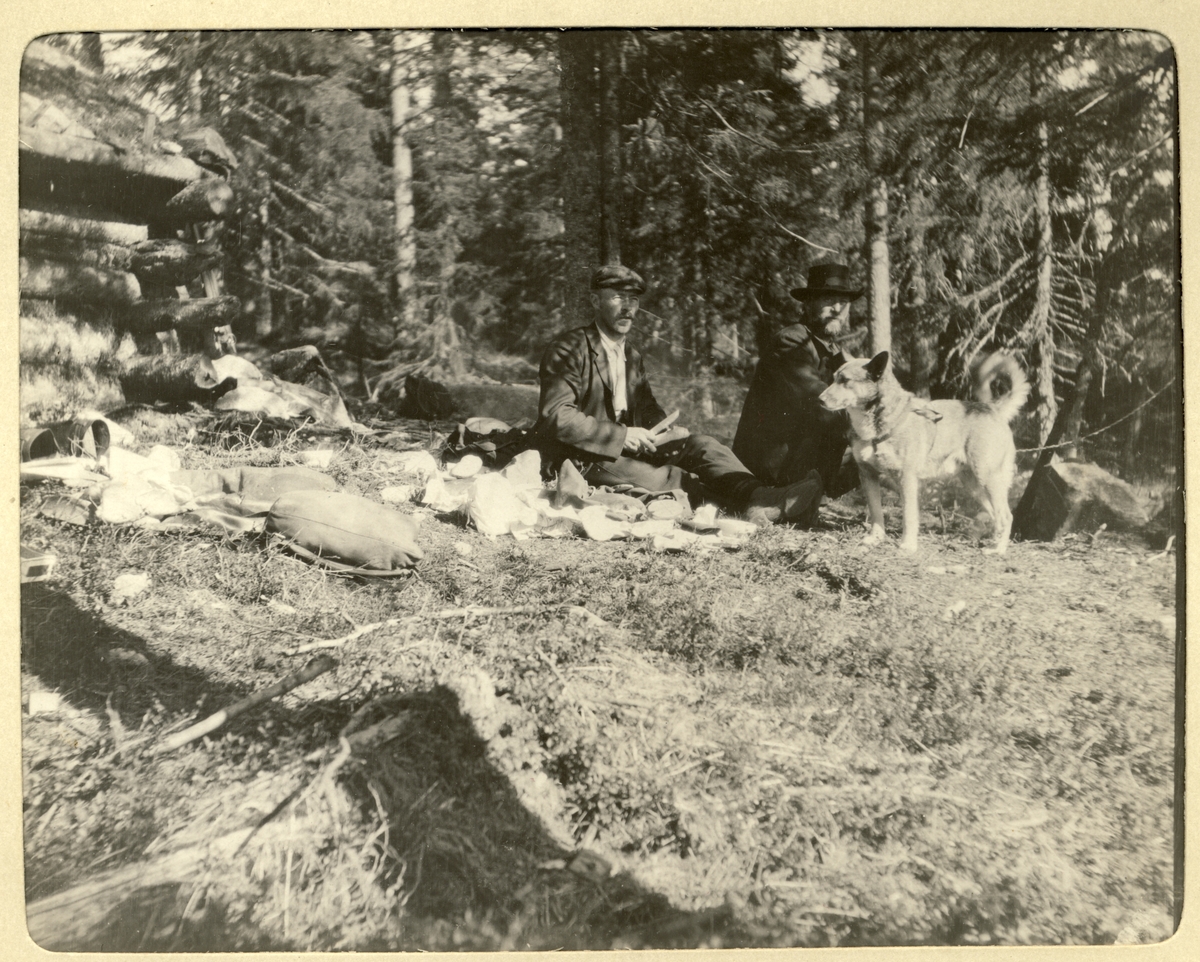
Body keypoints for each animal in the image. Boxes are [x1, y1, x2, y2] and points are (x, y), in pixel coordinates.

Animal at [816, 352, 1032, 551]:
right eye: (834, 378)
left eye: (845, 381)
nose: (819, 400)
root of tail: (991, 408)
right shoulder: (868, 475)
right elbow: (876, 512)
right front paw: (875, 538)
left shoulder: (907, 478)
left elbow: (909, 516)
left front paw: (908, 545)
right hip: (974, 485)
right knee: (996, 515)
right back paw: (994, 542)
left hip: (987, 478)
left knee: (1006, 515)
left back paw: (998, 550)